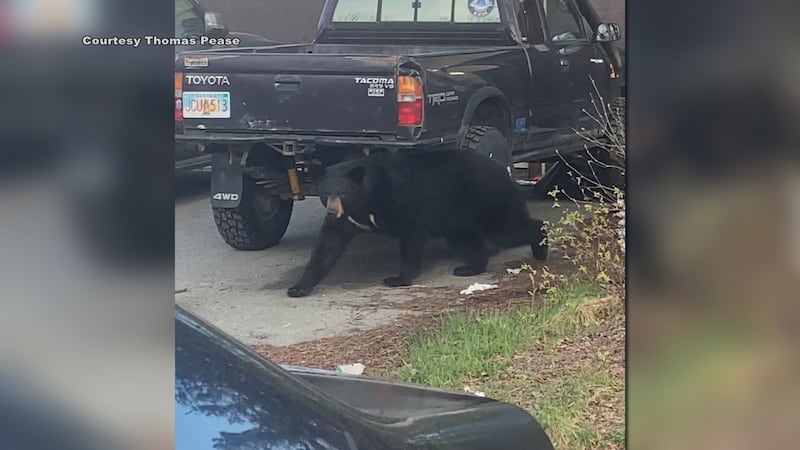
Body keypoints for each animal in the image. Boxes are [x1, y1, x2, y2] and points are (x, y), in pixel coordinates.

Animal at [287, 149, 548, 298]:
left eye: (343, 192)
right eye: (325, 193)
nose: (332, 211)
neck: (366, 198)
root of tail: (504, 171)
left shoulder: (399, 198)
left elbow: (411, 235)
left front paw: (398, 278)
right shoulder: (347, 219)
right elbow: (328, 246)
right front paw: (297, 287)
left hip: (485, 200)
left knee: (508, 228)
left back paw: (541, 246)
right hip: (457, 214)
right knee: (466, 238)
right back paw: (469, 267)